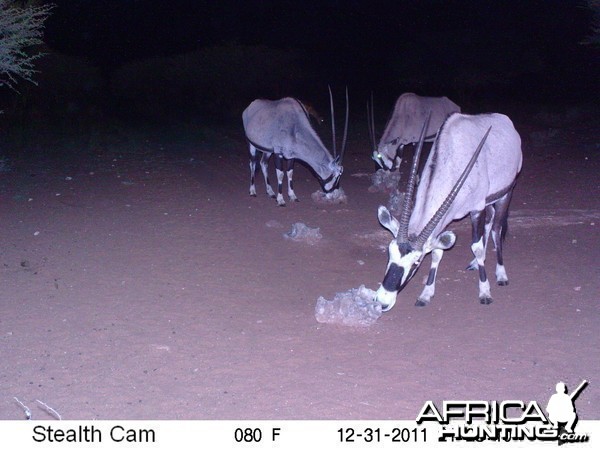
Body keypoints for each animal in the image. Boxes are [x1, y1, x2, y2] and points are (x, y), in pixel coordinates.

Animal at [378, 110, 524, 312]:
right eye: (388, 254)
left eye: (416, 263)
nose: (382, 301)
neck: (451, 157)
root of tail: (505, 120)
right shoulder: (446, 220)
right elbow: (438, 252)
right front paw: (426, 294)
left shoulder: (476, 209)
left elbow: (477, 247)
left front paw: (485, 292)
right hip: (489, 200)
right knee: (489, 224)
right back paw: (475, 264)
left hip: (506, 193)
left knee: (496, 229)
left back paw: (501, 273)